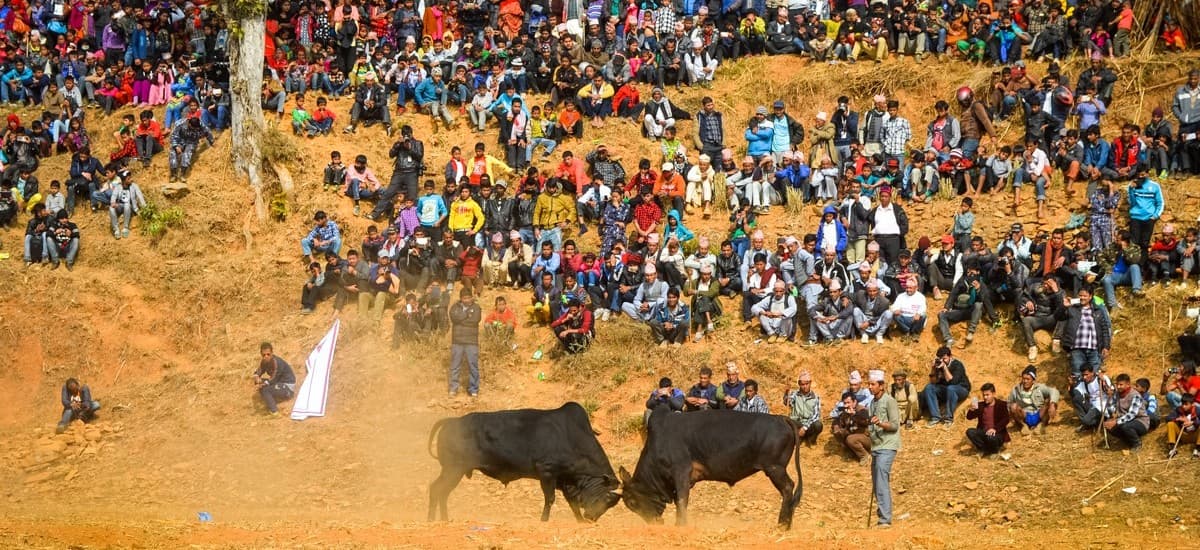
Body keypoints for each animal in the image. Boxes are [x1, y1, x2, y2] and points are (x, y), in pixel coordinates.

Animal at [429, 401, 619, 521]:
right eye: (607, 497)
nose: (592, 517)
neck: (574, 437)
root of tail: (452, 421)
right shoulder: (547, 472)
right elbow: (550, 499)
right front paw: (543, 520)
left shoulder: (565, 480)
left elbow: (572, 503)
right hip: (453, 469)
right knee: (437, 489)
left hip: (452, 470)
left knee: (441, 491)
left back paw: (443, 520)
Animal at [619, 408, 806, 528]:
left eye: (632, 502)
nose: (653, 523)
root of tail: (781, 418)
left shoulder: (681, 471)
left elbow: (682, 500)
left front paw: (680, 525)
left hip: (774, 468)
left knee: (788, 488)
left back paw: (782, 525)